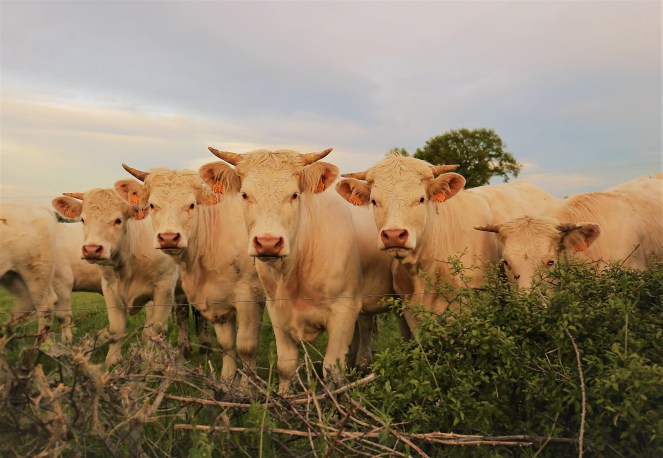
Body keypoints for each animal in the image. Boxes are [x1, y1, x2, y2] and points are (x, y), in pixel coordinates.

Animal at [52, 189, 178, 365]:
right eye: (83, 219)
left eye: (118, 220)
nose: (91, 249)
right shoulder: (110, 288)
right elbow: (116, 328)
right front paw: (112, 359)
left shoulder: (165, 287)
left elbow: (157, 329)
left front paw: (157, 360)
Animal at [116, 167, 265, 388]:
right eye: (152, 205)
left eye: (191, 205)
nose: (168, 237)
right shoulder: (217, 298)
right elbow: (226, 344)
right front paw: (226, 382)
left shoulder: (250, 296)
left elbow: (247, 347)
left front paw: (247, 389)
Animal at [200, 147, 396, 393]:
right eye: (245, 195)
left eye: (294, 195)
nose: (268, 242)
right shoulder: (276, 310)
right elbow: (286, 365)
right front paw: (284, 394)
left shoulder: (343, 311)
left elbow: (331, 370)